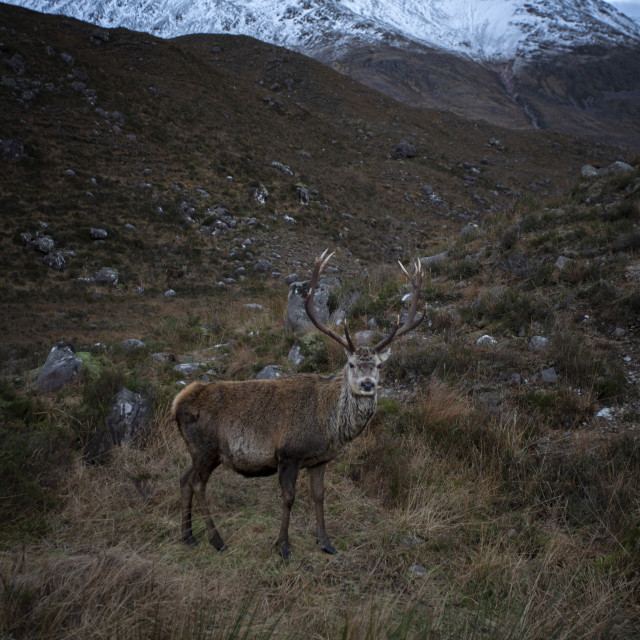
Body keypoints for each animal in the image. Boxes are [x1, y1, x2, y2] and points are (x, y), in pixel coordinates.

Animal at [172, 248, 428, 556]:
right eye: (351, 364)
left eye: (379, 366)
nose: (368, 384)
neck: (328, 425)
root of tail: (177, 404)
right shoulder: (288, 453)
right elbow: (289, 498)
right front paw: (283, 545)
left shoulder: (319, 459)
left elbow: (318, 496)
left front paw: (325, 542)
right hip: (207, 448)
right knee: (197, 484)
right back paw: (216, 540)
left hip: (197, 451)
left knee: (184, 480)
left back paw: (188, 536)